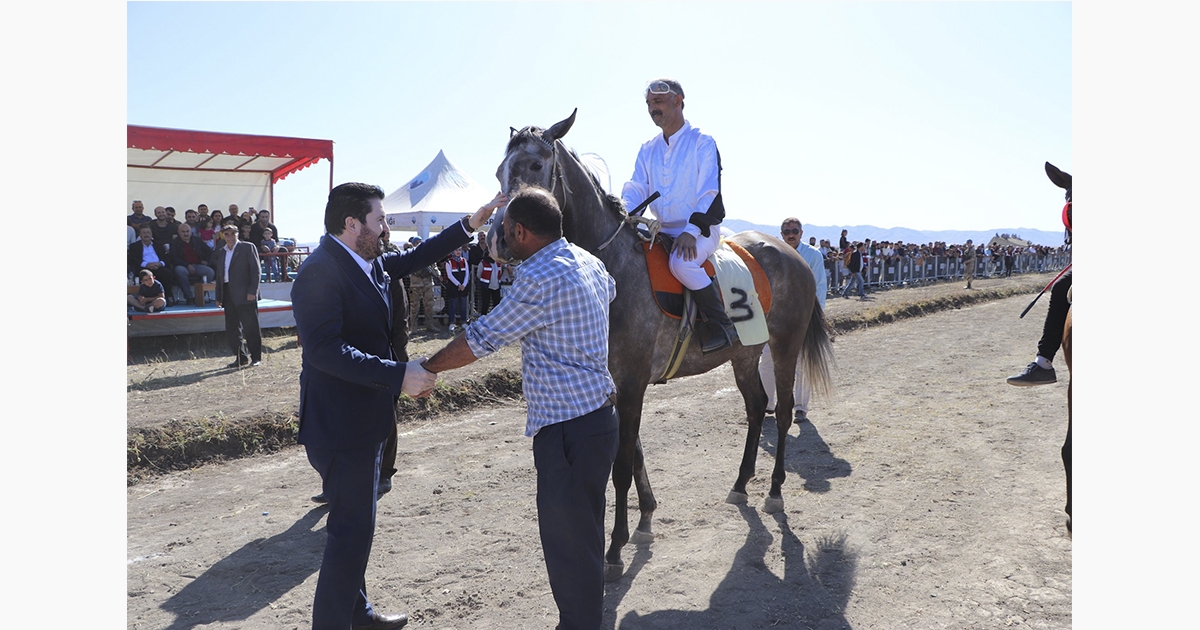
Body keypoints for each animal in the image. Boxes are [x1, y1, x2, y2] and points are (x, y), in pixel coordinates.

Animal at [487, 108, 835, 580]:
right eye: (500, 171)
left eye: (536, 165)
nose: (497, 238)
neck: (612, 269)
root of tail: (793, 252)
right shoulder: (615, 384)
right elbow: (633, 454)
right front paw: (646, 518)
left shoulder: (632, 382)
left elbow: (619, 466)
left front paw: (615, 546)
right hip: (745, 353)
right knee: (755, 406)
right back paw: (740, 483)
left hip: (784, 345)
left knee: (780, 411)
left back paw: (775, 489)